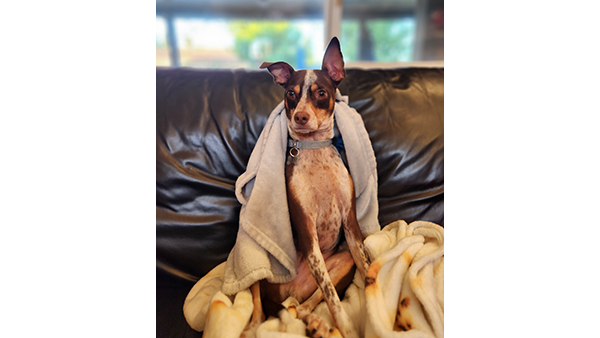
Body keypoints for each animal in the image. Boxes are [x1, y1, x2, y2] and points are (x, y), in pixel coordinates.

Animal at [241, 37, 368, 338]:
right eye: (290, 93)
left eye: (321, 92)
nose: (300, 117)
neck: (315, 150)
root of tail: (288, 291)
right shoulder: (307, 230)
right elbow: (333, 297)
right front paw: (347, 327)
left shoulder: (351, 224)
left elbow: (365, 270)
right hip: (260, 266)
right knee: (260, 304)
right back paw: (252, 327)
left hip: (340, 262)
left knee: (304, 305)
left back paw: (314, 321)